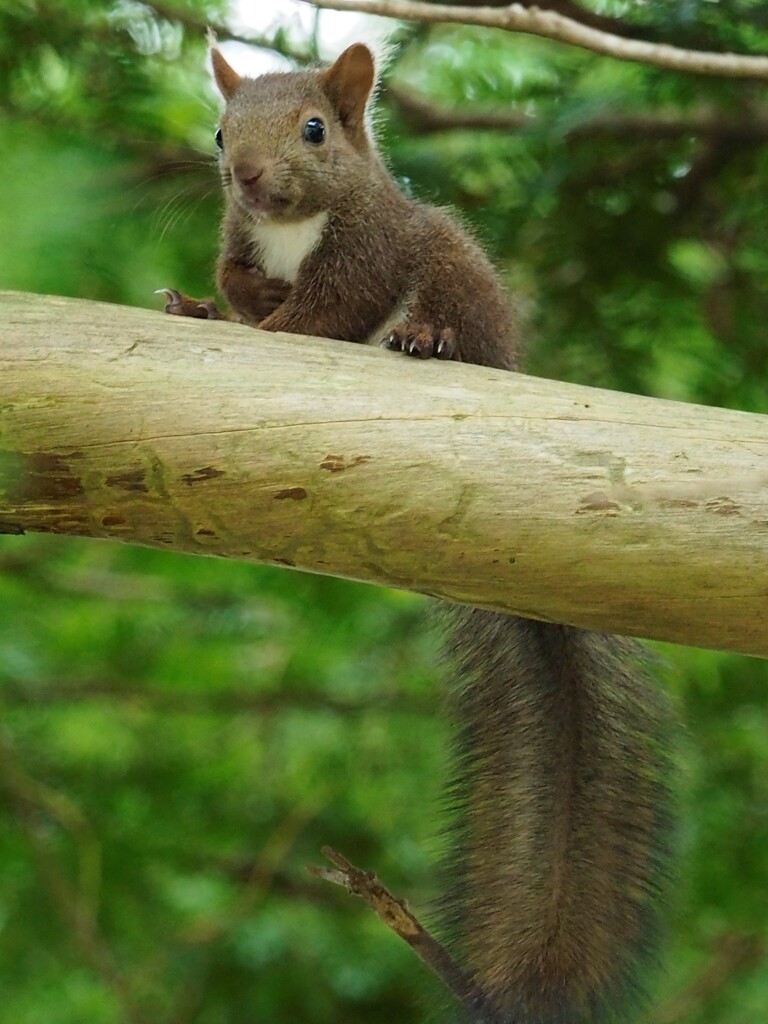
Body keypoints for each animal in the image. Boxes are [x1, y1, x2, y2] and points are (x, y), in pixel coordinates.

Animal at [162, 44, 671, 1024]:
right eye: (218, 132)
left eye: (315, 129)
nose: (248, 177)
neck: (297, 225)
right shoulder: (242, 242)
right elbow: (239, 284)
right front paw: (206, 302)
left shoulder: (371, 254)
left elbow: (317, 314)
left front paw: (277, 318)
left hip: (453, 272)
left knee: (433, 318)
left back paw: (426, 339)